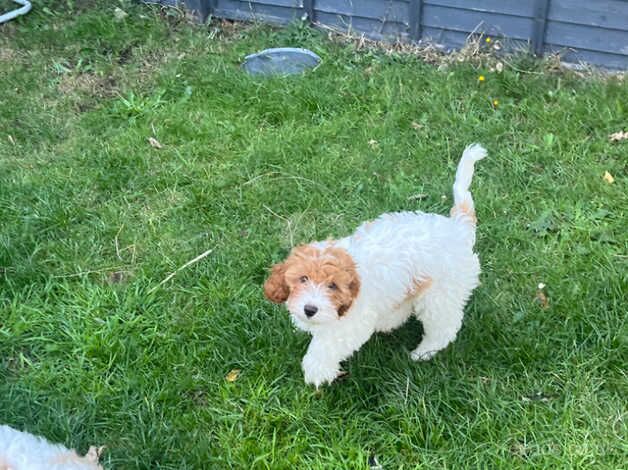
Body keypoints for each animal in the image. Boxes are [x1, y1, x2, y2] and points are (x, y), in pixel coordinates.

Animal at [264, 143, 486, 386]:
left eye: (332, 286)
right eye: (303, 279)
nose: (310, 309)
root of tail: (458, 227)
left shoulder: (352, 322)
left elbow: (326, 346)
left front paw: (317, 371)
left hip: (441, 293)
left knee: (444, 326)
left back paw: (423, 352)